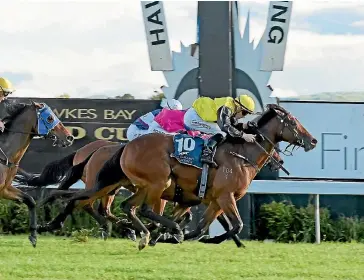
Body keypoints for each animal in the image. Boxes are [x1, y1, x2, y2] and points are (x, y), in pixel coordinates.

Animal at [36, 104, 316, 250]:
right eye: (293, 121)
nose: (312, 140)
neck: (242, 153)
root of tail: (124, 147)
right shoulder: (225, 196)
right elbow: (234, 225)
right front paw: (182, 235)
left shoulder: (214, 200)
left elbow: (203, 226)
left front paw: (184, 236)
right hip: (155, 181)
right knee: (108, 205)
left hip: (131, 185)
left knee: (122, 207)